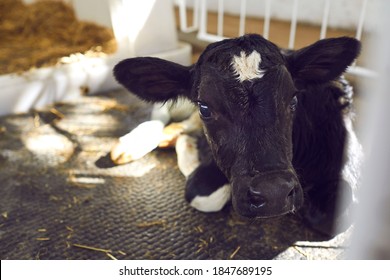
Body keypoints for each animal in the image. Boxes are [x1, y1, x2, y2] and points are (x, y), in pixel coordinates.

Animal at [112, 34, 362, 236]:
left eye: (293, 99)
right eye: (204, 107)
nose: (274, 192)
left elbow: (328, 219)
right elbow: (201, 193)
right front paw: (191, 155)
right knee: (163, 112)